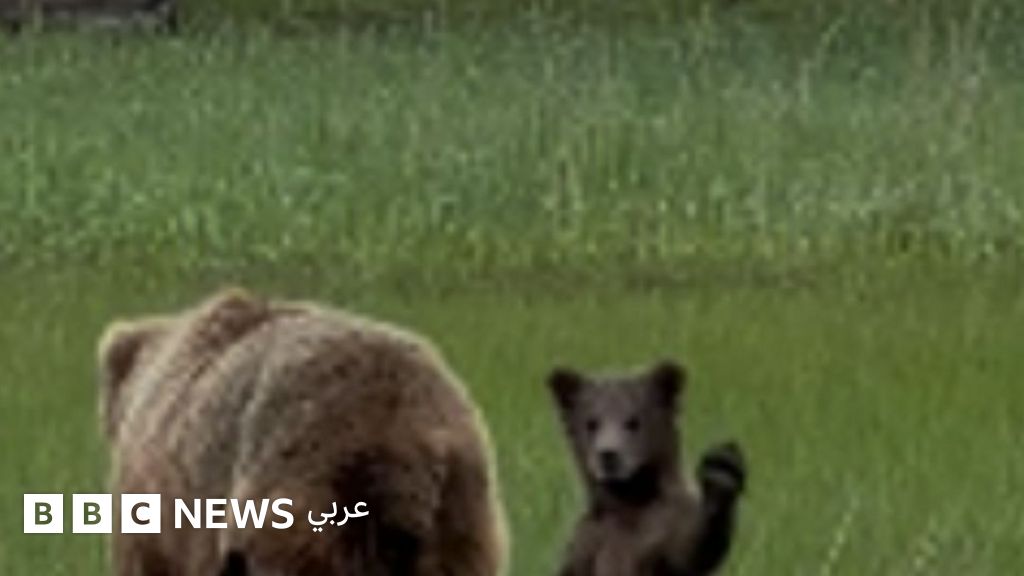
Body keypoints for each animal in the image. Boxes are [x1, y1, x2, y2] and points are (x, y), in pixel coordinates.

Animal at [547, 360, 746, 576]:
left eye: (633, 421)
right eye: (591, 423)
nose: (608, 454)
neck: (629, 499)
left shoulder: (665, 530)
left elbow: (691, 552)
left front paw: (720, 474)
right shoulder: (589, 539)